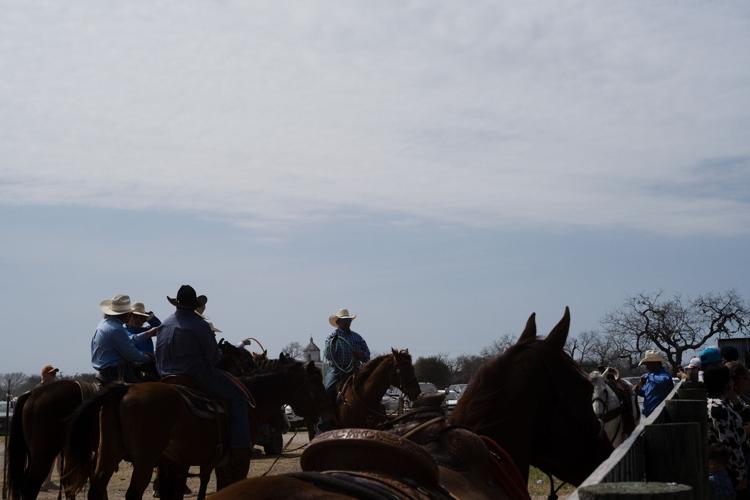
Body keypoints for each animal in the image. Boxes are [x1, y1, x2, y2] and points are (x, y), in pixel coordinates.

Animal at [66, 358, 330, 498]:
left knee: (97, 488)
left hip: (108, 455)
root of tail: (124, 389)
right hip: (143, 460)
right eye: (317, 385)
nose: (325, 414)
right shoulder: (236, 460)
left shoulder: (188, 462)